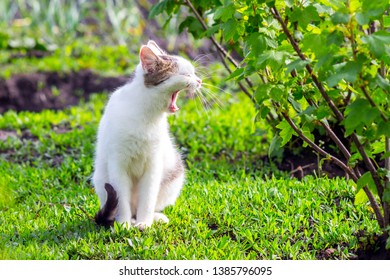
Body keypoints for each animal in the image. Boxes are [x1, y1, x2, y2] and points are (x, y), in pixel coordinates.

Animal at [91, 41, 201, 230]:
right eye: (187, 74)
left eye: (194, 73)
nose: (200, 80)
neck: (147, 115)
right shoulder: (117, 164)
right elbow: (121, 198)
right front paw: (124, 224)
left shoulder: (154, 163)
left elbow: (148, 198)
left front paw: (145, 223)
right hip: (100, 178)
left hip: (173, 177)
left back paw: (153, 218)